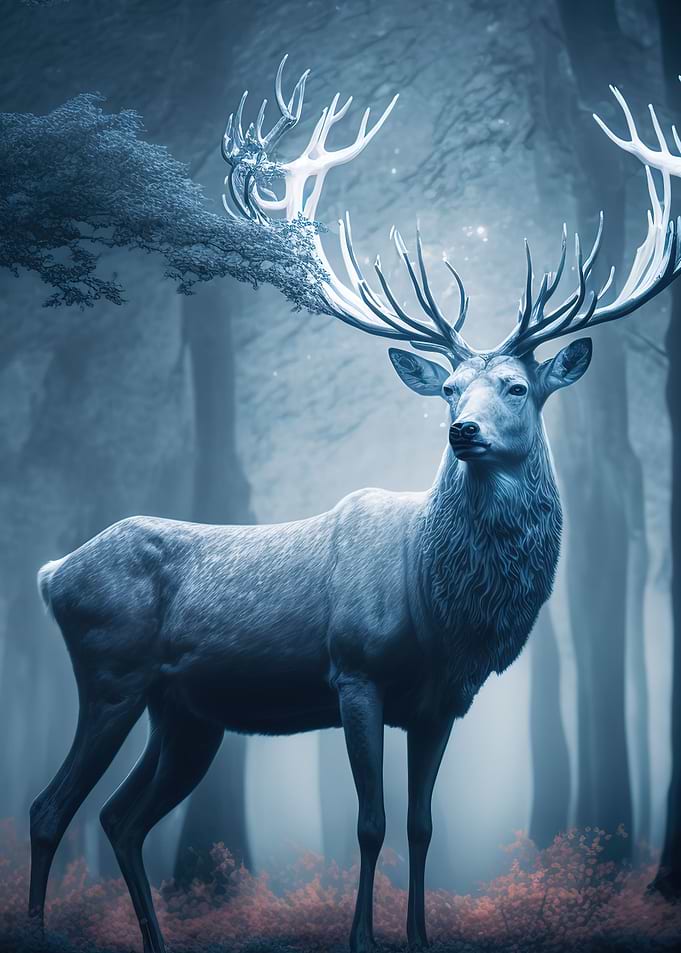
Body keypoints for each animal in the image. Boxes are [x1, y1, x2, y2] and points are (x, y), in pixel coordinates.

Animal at [29, 59, 681, 953]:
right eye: (447, 386)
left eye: (517, 386)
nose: (463, 431)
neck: (441, 608)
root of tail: (51, 570)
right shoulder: (355, 673)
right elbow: (369, 822)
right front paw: (362, 937)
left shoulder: (443, 703)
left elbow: (421, 825)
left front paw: (418, 936)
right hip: (112, 673)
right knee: (51, 804)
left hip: (186, 713)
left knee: (122, 817)